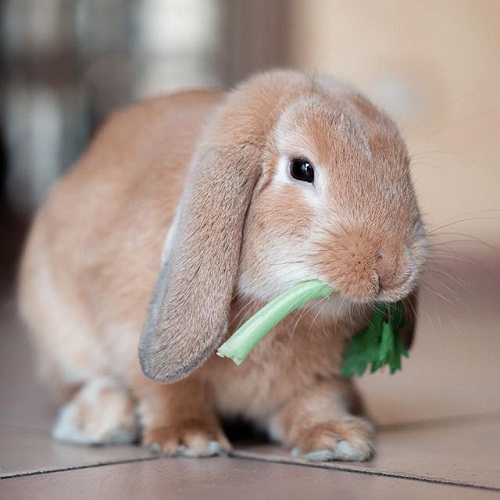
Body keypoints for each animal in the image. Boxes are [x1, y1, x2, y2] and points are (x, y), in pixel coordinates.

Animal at [18, 69, 426, 460]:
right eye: (302, 169)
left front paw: (337, 439)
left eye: (403, 167)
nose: (392, 269)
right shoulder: (129, 336)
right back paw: (99, 421)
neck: (275, 314)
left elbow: (314, 400)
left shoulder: (324, 377)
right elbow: (167, 389)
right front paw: (189, 439)